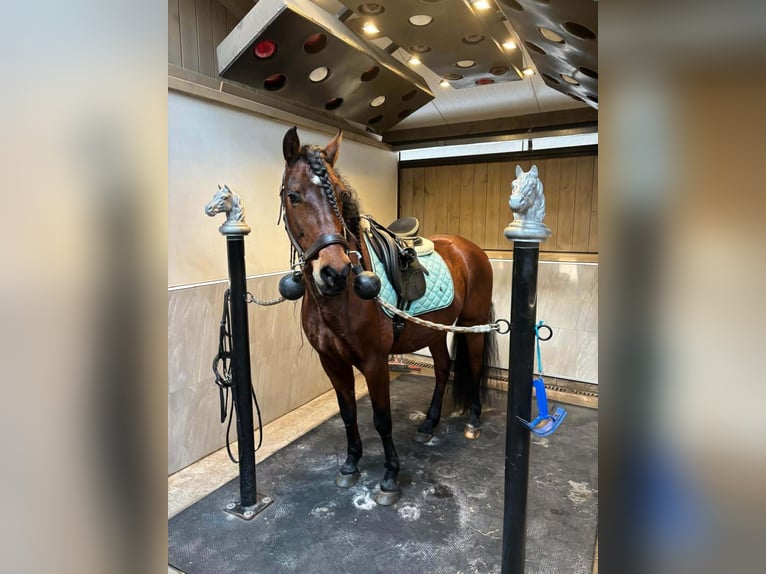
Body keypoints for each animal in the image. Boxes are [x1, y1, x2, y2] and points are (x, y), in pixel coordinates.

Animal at [279, 127, 495, 505]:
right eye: (294, 196)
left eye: (340, 195)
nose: (334, 272)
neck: (340, 299)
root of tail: (469, 248)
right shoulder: (331, 362)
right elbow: (348, 413)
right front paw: (350, 465)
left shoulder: (375, 361)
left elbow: (382, 419)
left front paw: (390, 477)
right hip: (435, 330)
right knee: (443, 369)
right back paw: (428, 425)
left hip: (473, 324)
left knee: (471, 366)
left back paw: (473, 422)